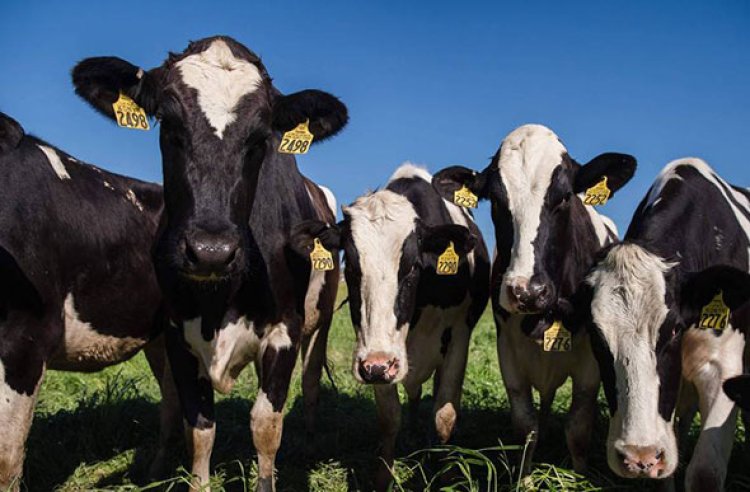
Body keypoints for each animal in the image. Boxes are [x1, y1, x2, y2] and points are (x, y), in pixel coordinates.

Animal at [71, 36, 348, 491]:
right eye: (168, 124)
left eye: (261, 137)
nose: (210, 250)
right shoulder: (176, 333)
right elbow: (198, 428)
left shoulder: (284, 331)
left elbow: (266, 426)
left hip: (320, 319)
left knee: (309, 384)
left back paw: (309, 443)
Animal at [290, 163, 490, 490]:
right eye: (352, 267)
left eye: (412, 266)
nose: (377, 366)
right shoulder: (376, 355)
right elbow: (389, 417)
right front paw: (384, 476)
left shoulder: (459, 336)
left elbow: (445, 415)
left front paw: (447, 475)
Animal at [431, 124, 637, 472]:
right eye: (496, 201)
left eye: (565, 197)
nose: (527, 291)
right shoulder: (508, 353)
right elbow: (526, 426)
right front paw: (524, 477)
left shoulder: (590, 363)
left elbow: (578, 428)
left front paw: (579, 475)